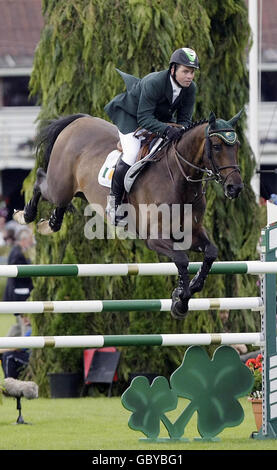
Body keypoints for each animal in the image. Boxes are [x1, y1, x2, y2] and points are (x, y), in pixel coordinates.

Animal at [13, 111, 242, 320]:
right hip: (59, 186)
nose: (235, 188)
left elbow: (210, 252)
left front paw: (189, 287)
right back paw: (25, 215)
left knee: (59, 201)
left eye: (237, 146)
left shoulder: (190, 233)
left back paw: (51, 223)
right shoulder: (154, 239)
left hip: (75, 192)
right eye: (217, 146)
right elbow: (181, 259)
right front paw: (181, 300)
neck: (178, 179)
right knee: (40, 181)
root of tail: (79, 120)